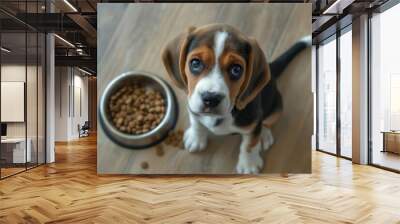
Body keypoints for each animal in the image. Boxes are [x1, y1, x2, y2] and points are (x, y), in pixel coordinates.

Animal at [161, 24, 310, 173]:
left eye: (236, 69)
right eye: (195, 63)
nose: (211, 98)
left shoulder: (253, 123)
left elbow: (249, 144)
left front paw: (249, 165)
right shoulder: (192, 106)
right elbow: (196, 122)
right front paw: (196, 138)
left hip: (277, 106)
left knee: (267, 122)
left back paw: (264, 134)